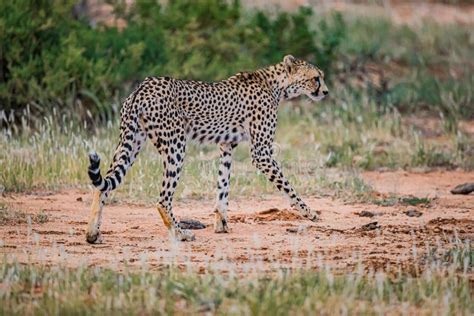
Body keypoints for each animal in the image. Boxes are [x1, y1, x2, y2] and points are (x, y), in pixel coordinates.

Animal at [85, 54, 328, 243]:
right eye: (315, 78)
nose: (325, 92)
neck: (276, 85)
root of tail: (143, 87)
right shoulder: (262, 152)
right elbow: (287, 186)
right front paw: (310, 212)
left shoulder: (226, 145)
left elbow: (223, 185)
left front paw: (221, 224)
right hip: (176, 145)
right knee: (163, 199)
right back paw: (181, 233)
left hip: (132, 142)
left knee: (103, 186)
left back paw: (92, 234)